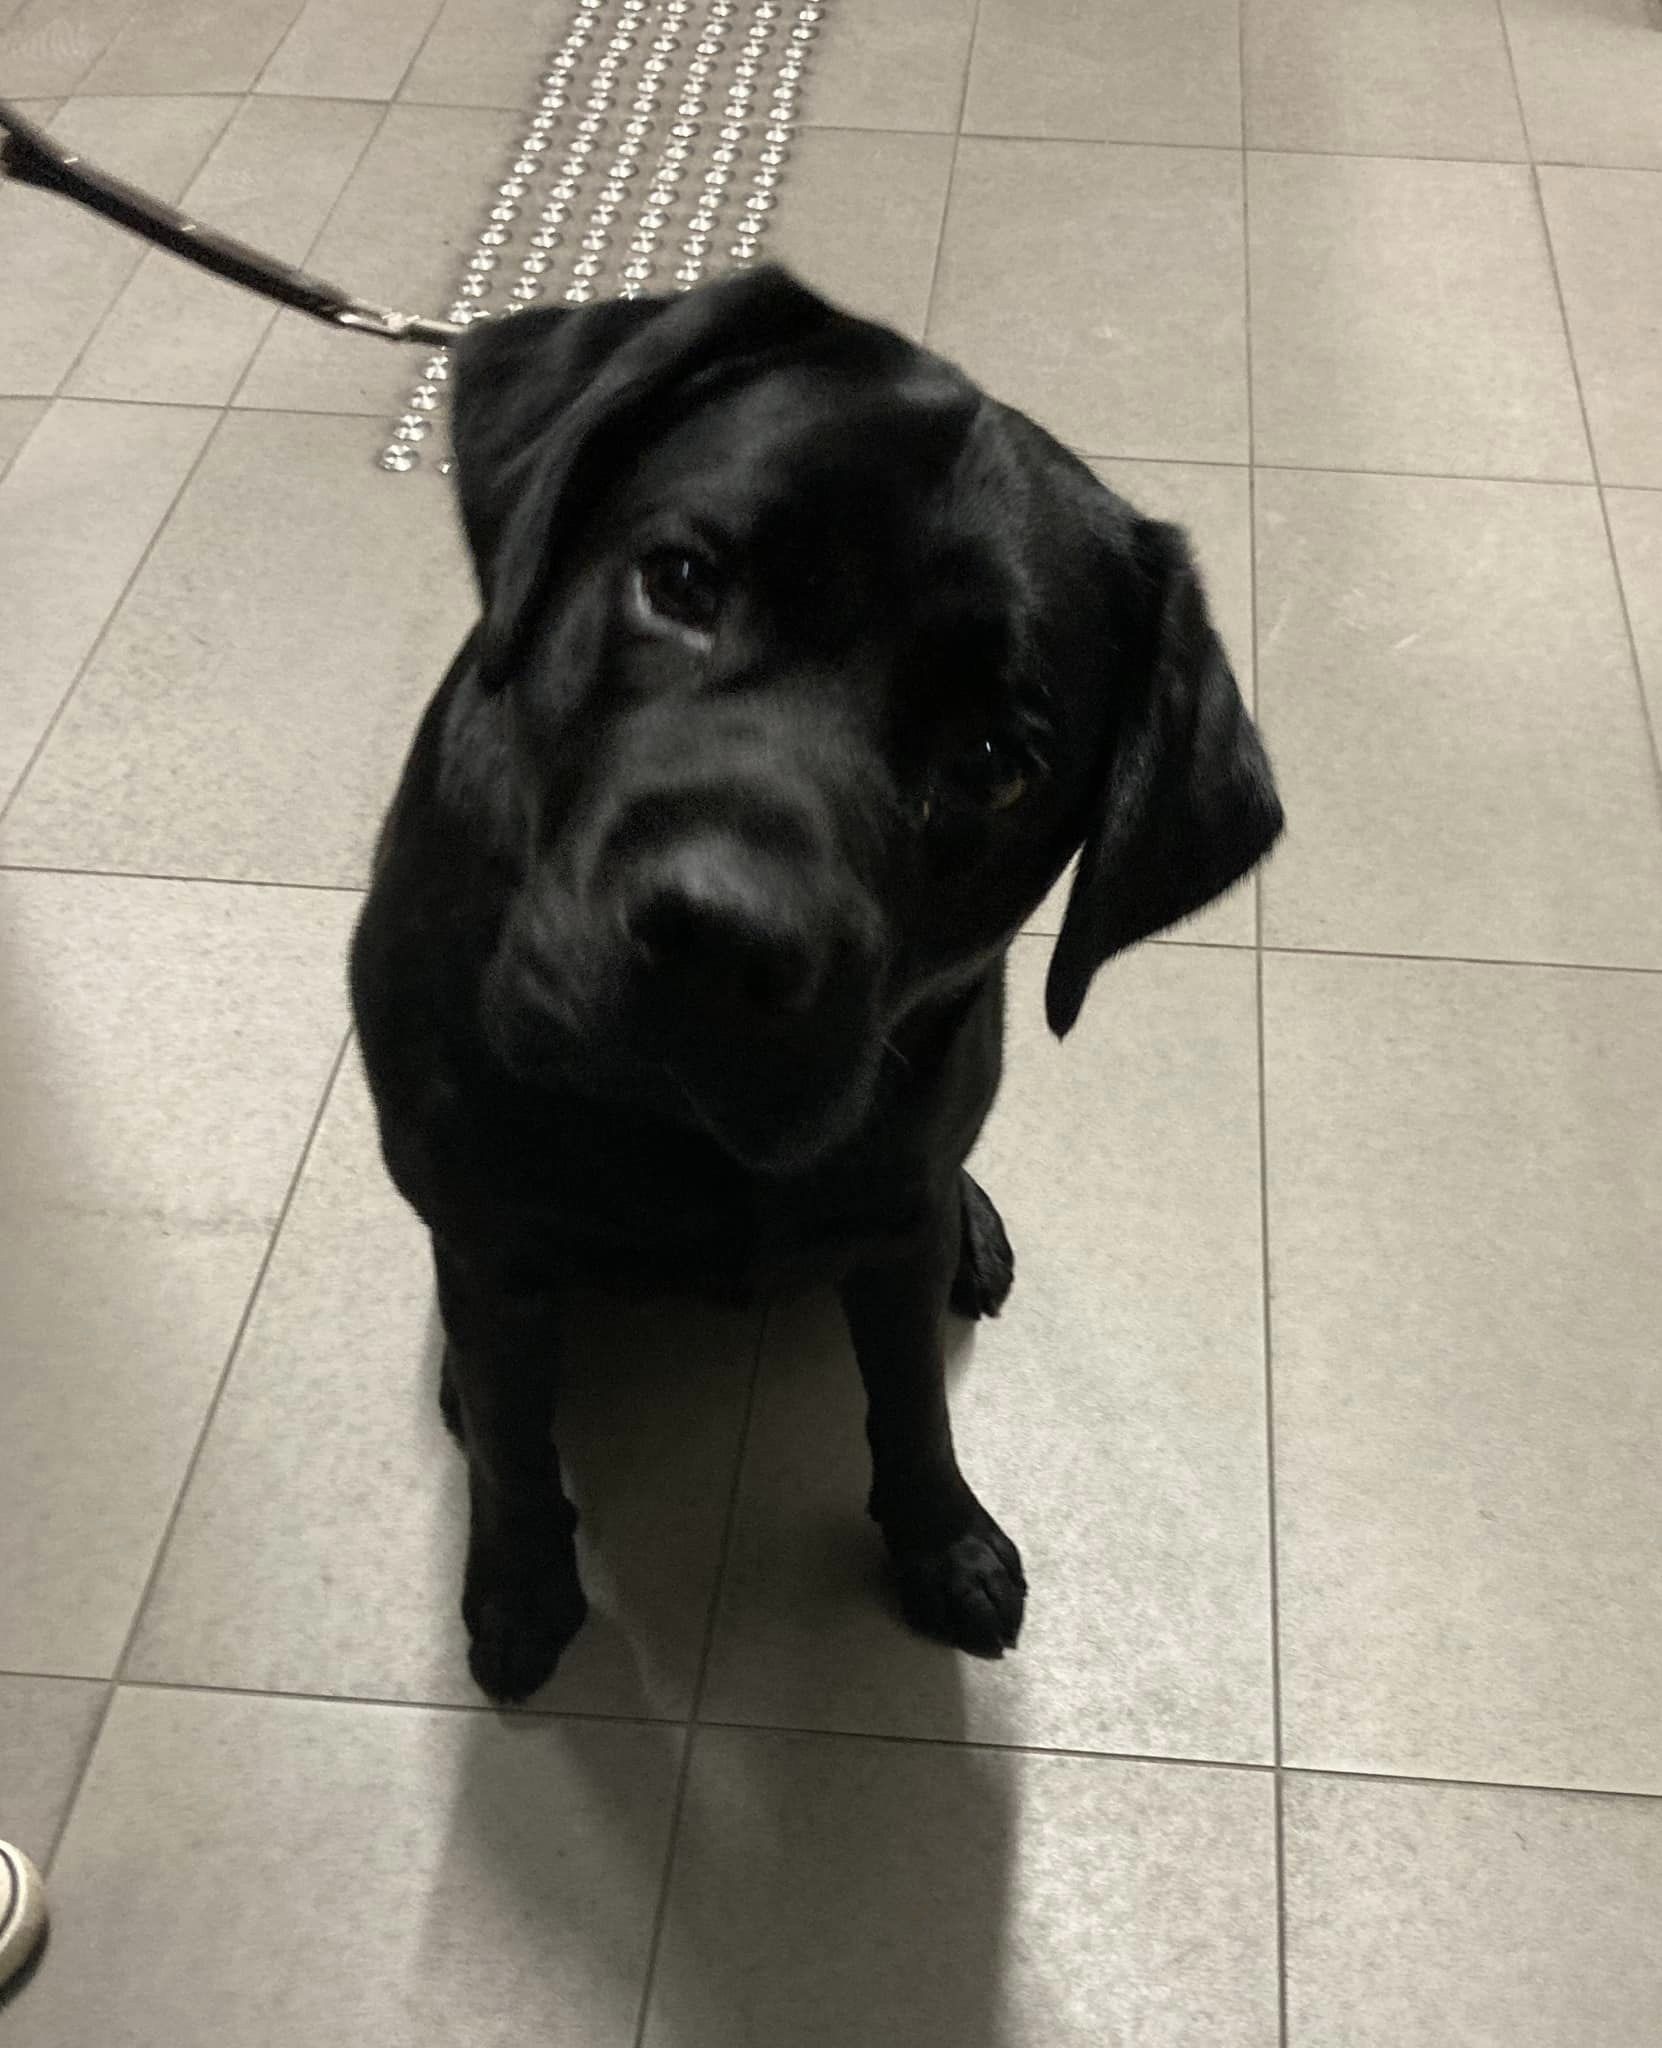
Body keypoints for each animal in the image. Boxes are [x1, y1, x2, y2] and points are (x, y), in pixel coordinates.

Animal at [350, 264, 1285, 1703]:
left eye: (996, 760)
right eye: (681, 580)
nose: (720, 940)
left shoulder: (887, 1220)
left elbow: (910, 1402)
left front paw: (944, 1542)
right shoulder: (486, 1231)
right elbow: (510, 1439)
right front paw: (518, 1589)